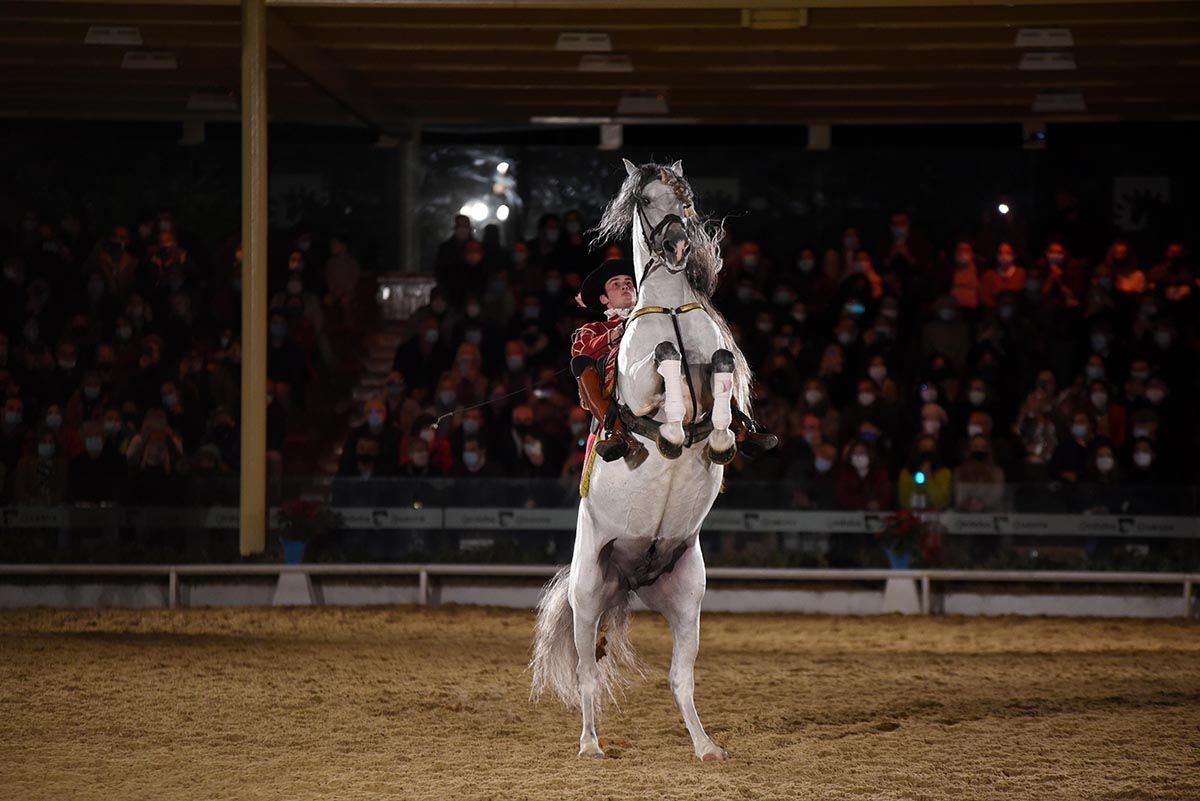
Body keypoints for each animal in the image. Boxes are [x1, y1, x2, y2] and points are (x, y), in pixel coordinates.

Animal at [532, 159, 748, 762]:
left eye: (687, 196)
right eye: (646, 200)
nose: (677, 245)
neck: (670, 306)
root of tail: (632, 576)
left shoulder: (717, 362)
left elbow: (720, 364)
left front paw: (720, 438)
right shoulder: (636, 379)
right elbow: (667, 359)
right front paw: (672, 428)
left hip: (688, 597)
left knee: (680, 678)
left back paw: (706, 747)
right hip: (587, 595)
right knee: (586, 673)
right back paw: (590, 746)